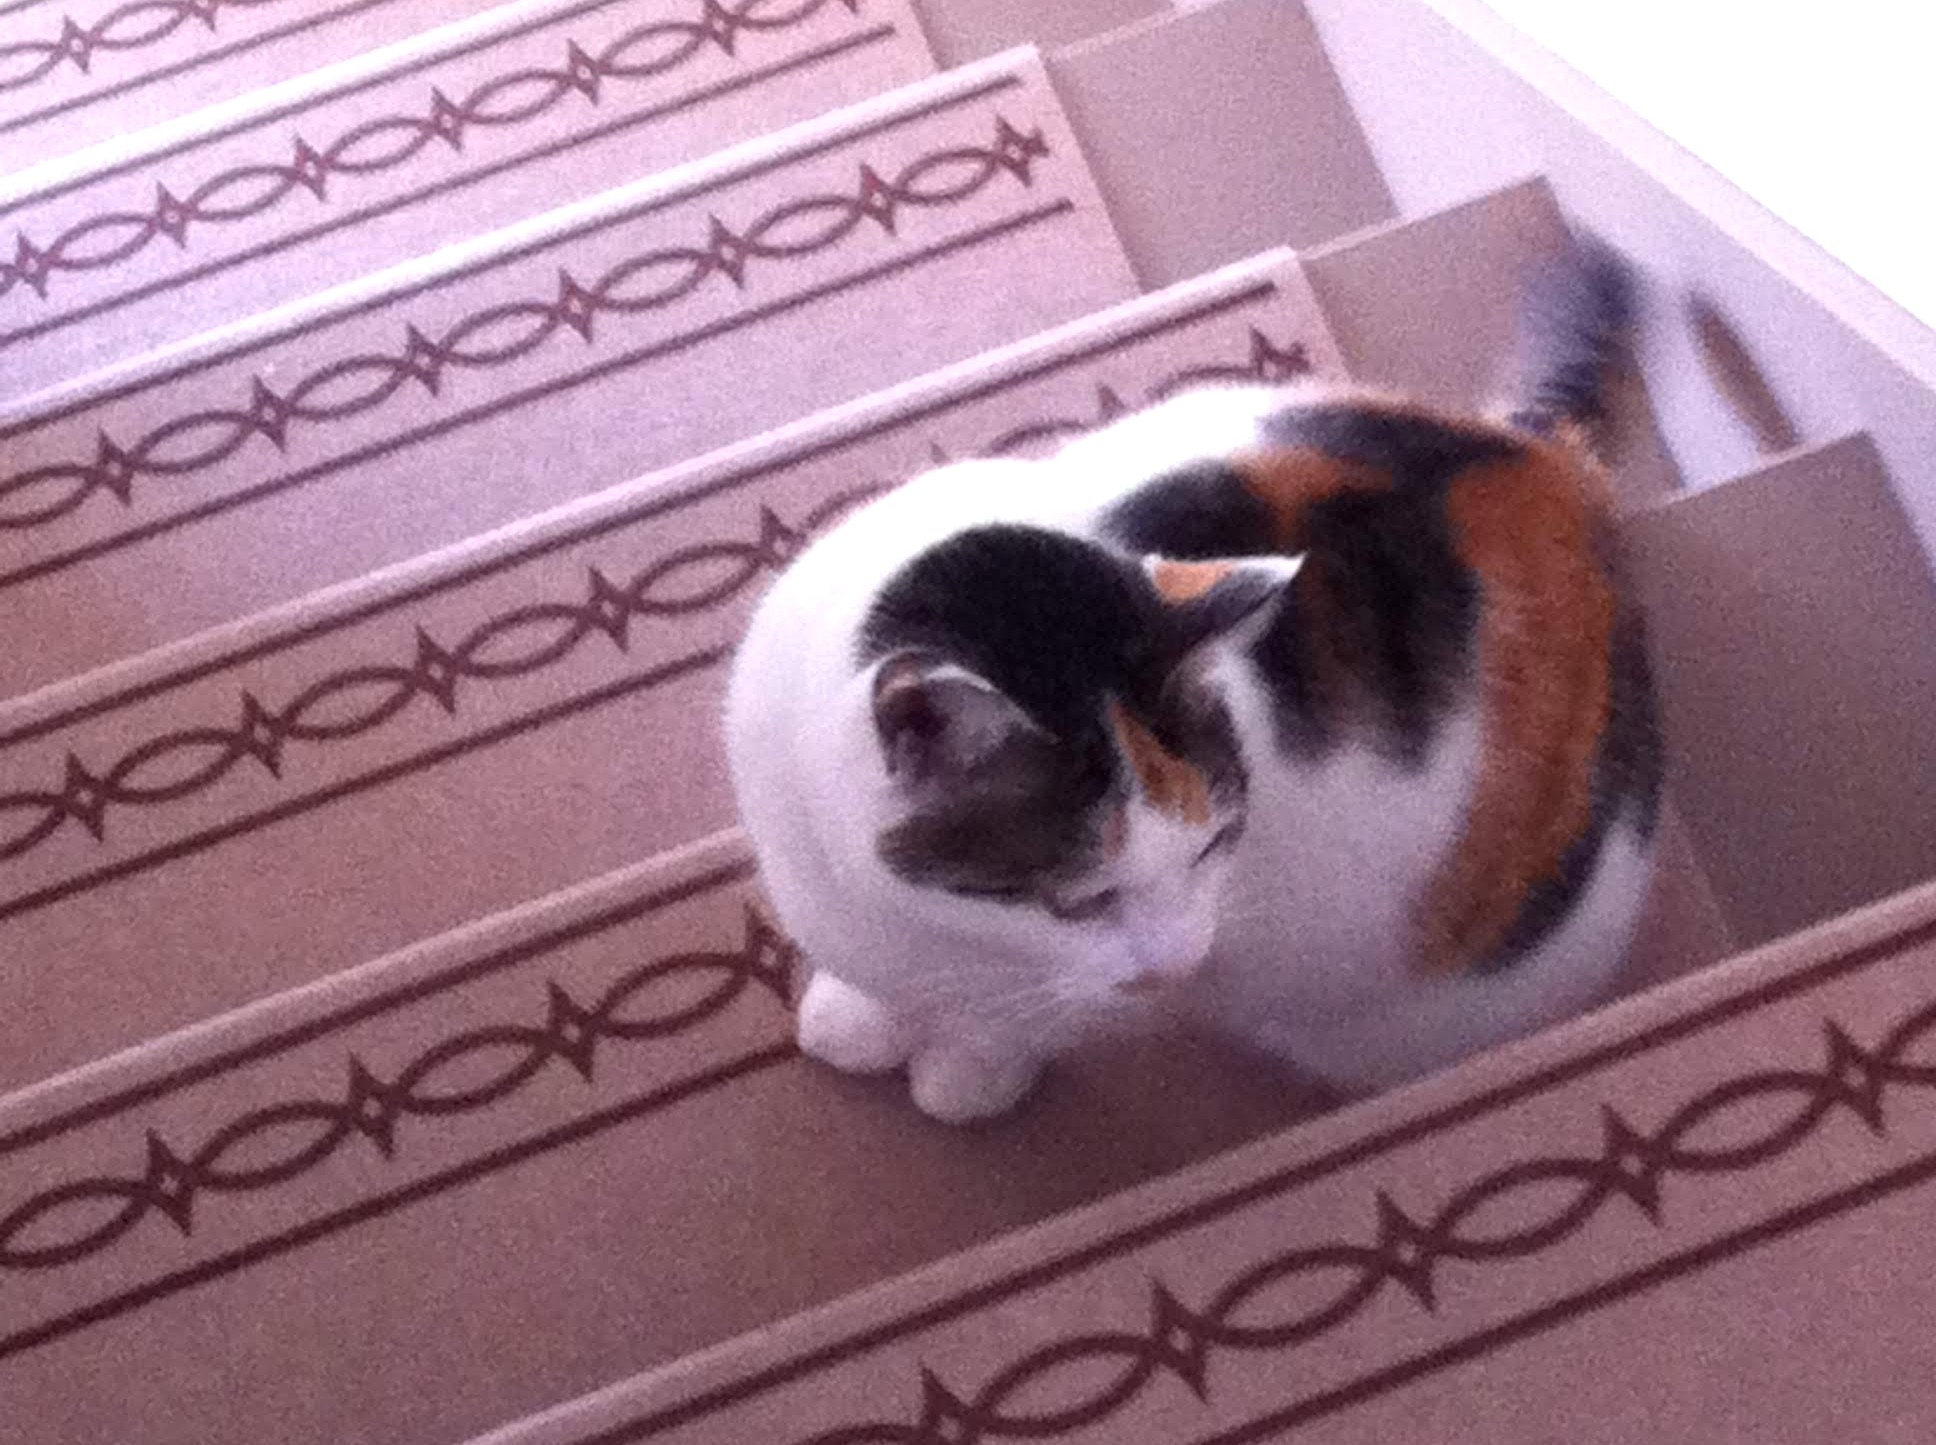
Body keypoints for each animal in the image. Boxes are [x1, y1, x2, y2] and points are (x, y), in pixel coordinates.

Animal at [724, 242, 1661, 1124]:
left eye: (1214, 848)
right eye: (1081, 900)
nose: (1179, 961)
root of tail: (1554, 467)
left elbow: (1023, 1020)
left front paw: (967, 1068)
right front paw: (858, 1012)